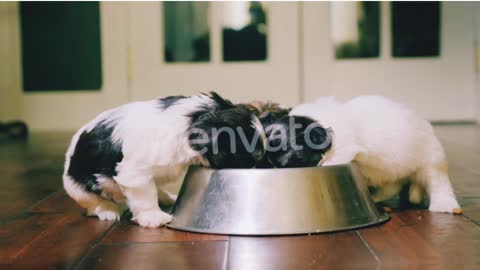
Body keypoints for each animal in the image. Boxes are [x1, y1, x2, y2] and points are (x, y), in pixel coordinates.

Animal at [62, 92, 266, 227]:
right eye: (251, 158)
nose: (262, 167)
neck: (192, 119)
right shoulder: (136, 173)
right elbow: (145, 195)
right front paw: (153, 217)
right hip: (78, 187)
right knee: (93, 203)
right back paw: (107, 210)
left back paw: (166, 197)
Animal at [270, 96, 462, 214]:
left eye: (291, 158)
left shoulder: (346, 147)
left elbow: (331, 160)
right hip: (390, 173)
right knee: (391, 187)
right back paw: (375, 197)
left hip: (432, 160)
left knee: (438, 182)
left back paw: (444, 204)